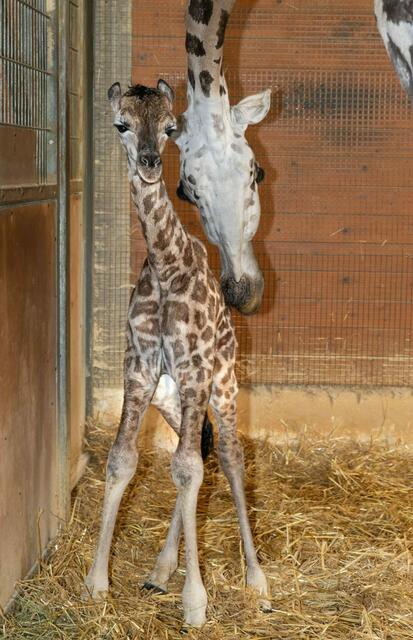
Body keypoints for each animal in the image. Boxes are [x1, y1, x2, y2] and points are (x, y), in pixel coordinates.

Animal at [83, 80, 270, 628]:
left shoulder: (194, 370)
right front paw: (97, 583)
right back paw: (160, 568)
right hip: (172, 399)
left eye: (169, 128)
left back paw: (256, 577)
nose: (148, 163)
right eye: (121, 123)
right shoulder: (140, 370)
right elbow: (124, 460)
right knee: (199, 452)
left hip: (223, 383)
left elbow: (187, 469)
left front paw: (195, 602)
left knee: (228, 455)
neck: (167, 268)